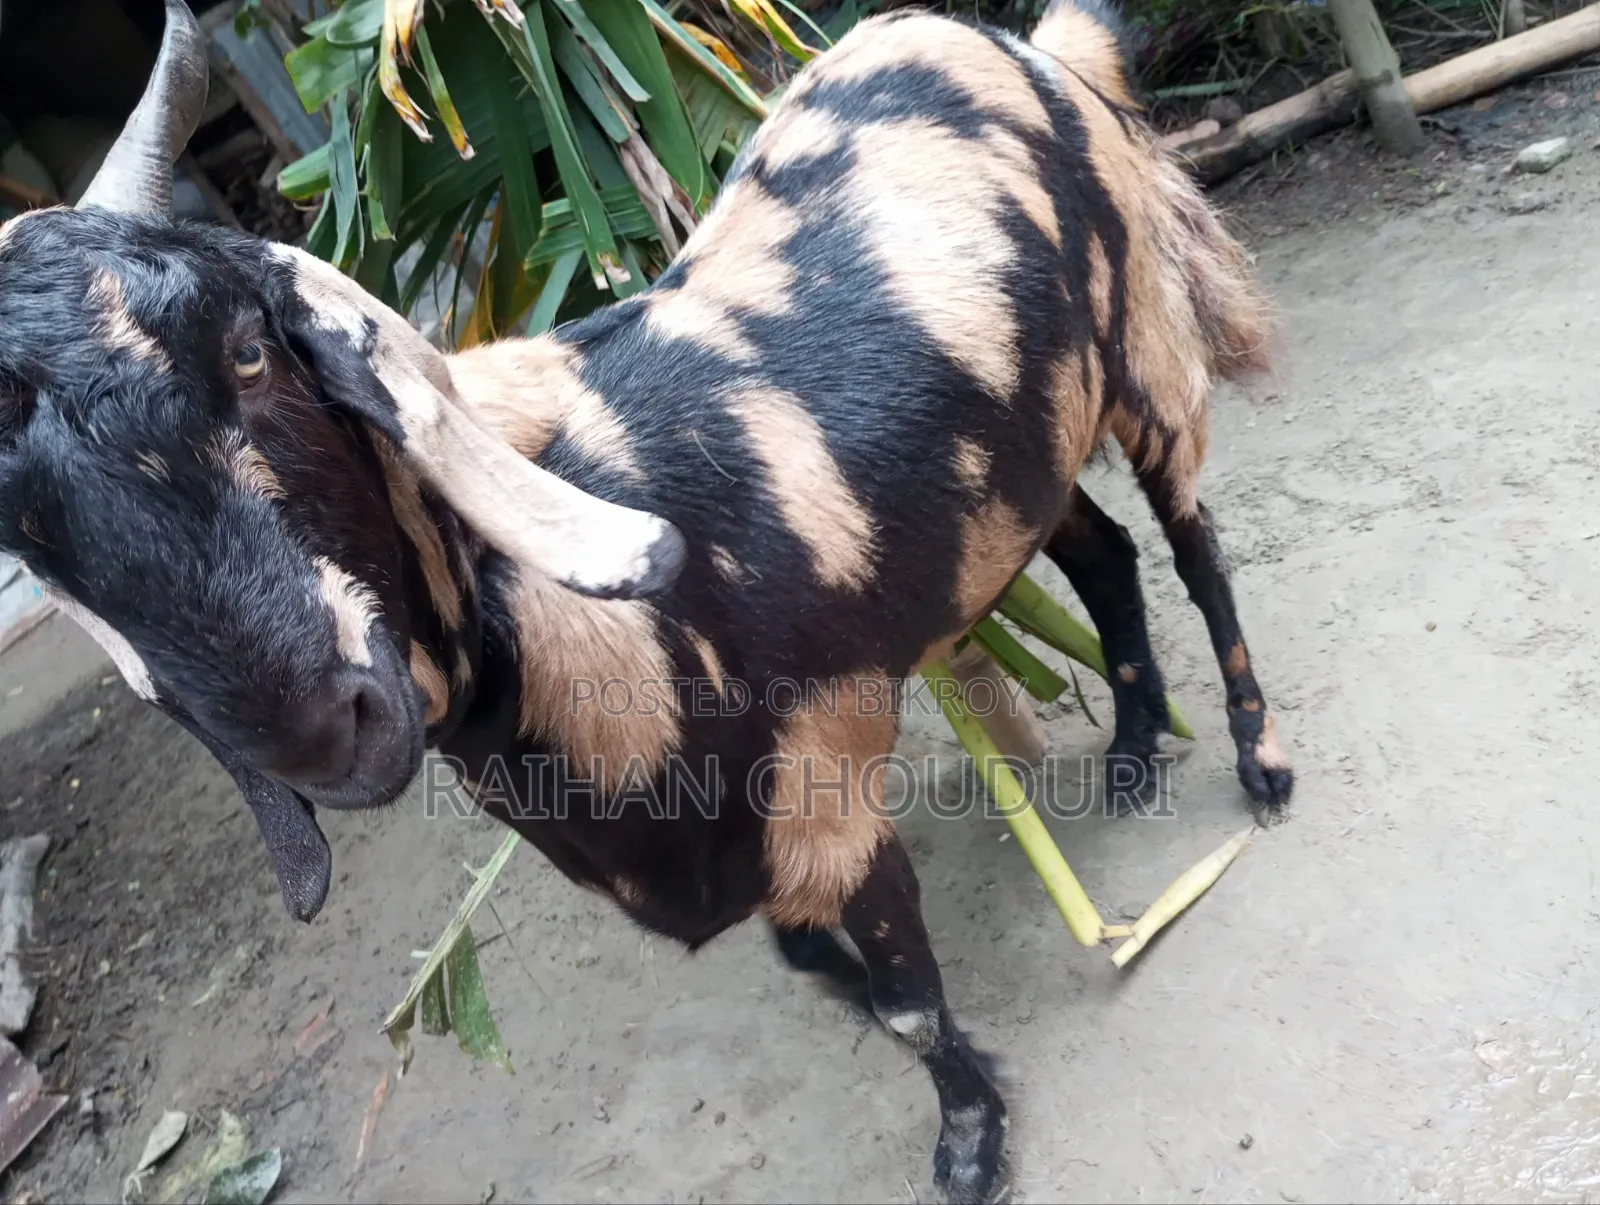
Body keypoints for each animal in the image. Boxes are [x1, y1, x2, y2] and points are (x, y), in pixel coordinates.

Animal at [0, 0, 1294, 1199]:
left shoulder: (826, 782)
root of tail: (1028, 43)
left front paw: (971, 1143)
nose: (322, 727)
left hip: (1145, 352)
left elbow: (907, 1006)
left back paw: (1256, 761)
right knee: (1103, 553)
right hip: (1023, 461)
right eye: (22, 531)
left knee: (1195, 549)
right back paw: (1131, 750)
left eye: (250, 348)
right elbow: (819, 969)